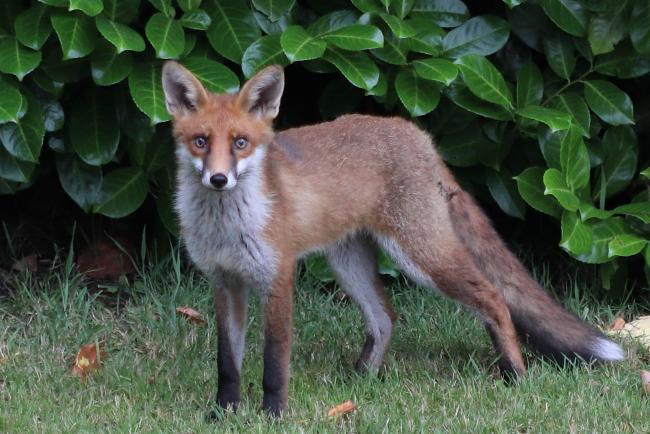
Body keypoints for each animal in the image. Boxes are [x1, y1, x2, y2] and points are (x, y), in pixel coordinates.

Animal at [161, 61, 625, 417]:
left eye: (241, 143)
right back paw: (361, 382)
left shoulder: (278, 278)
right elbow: (228, 363)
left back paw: (515, 374)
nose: (218, 179)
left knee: (493, 297)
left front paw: (273, 415)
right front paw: (223, 413)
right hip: (348, 263)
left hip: (423, 256)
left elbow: (274, 362)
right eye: (201, 142)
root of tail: (418, 136)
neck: (227, 227)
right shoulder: (226, 283)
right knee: (386, 317)